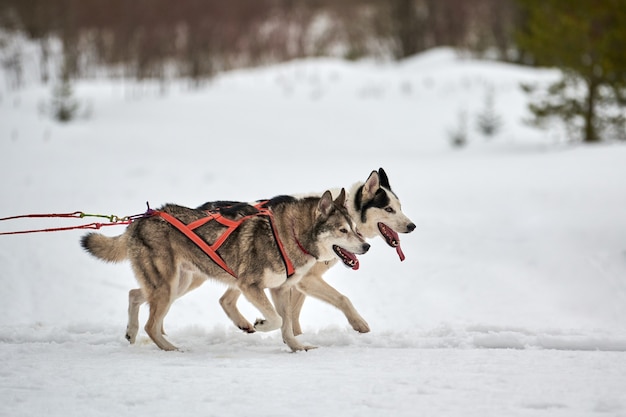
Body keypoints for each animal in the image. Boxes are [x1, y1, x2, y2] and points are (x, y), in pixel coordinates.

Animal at [80, 189, 368, 352]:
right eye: (342, 230)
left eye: (355, 228)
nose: (366, 245)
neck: (292, 234)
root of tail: (139, 221)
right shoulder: (250, 286)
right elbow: (276, 319)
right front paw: (261, 324)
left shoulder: (280, 288)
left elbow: (286, 324)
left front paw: (297, 347)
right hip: (168, 287)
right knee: (151, 324)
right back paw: (171, 349)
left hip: (176, 285)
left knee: (134, 295)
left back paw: (133, 333)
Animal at [214, 167, 414, 336]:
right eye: (389, 209)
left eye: (400, 207)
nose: (412, 226)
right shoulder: (306, 280)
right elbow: (342, 298)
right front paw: (359, 324)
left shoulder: (299, 282)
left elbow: (293, 313)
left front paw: (296, 337)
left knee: (225, 300)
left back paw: (244, 324)